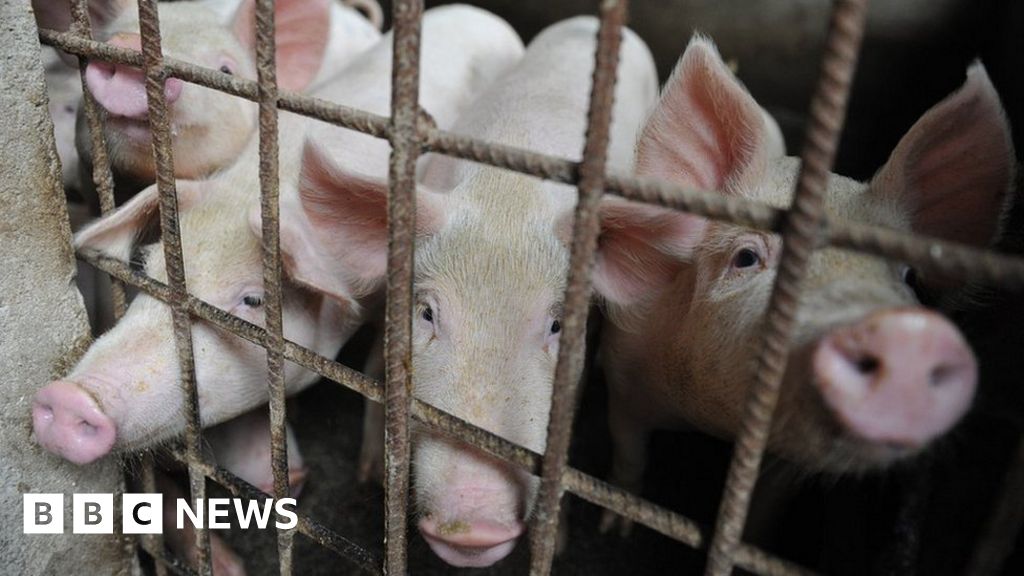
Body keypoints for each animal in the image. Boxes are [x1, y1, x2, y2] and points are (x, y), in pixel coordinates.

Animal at [295, 17, 657, 567]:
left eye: (556, 324)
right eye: (427, 313)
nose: (472, 526)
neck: (507, 193)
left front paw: (559, 544)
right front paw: (374, 477)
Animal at [593, 36, 1016, 532]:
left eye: (910, 276)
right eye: (746, 257)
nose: (912, 333)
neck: (714, 422)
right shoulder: (625, 372)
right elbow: (628, 454)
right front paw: (615, 527)